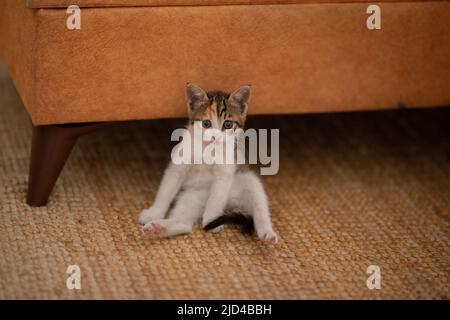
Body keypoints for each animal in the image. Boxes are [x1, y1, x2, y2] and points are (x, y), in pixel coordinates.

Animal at [137, 84, 278, 244]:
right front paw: (154, 212)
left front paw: (210, 219)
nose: (215, 137)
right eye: (206, 123)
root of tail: (230, 203)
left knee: (260, 208)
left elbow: (216, 198)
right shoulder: (178, 167)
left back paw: (267, 233)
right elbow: (165, 191)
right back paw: (157, 228)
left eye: (228, 124)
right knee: (184, 223)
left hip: (249, 181)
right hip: (192, 196)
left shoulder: (225, 172)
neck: (207, 150)